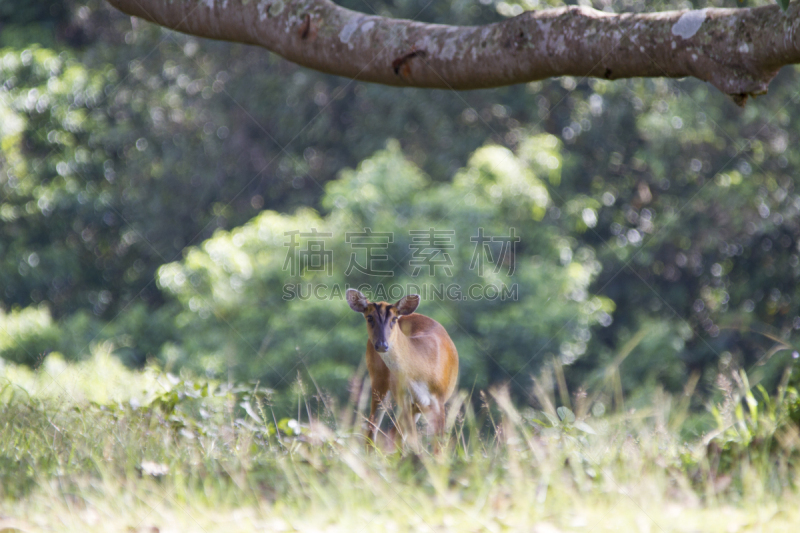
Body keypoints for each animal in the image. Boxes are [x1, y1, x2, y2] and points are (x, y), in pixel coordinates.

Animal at [346, 286, 460, 448]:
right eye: (369, 318)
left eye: (394, 319)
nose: (382, 345)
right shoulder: (404, 397)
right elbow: (412, 442)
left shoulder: (439, 398)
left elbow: (437, 446)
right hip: (379, 381)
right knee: (373, 431)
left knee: (393, 434)